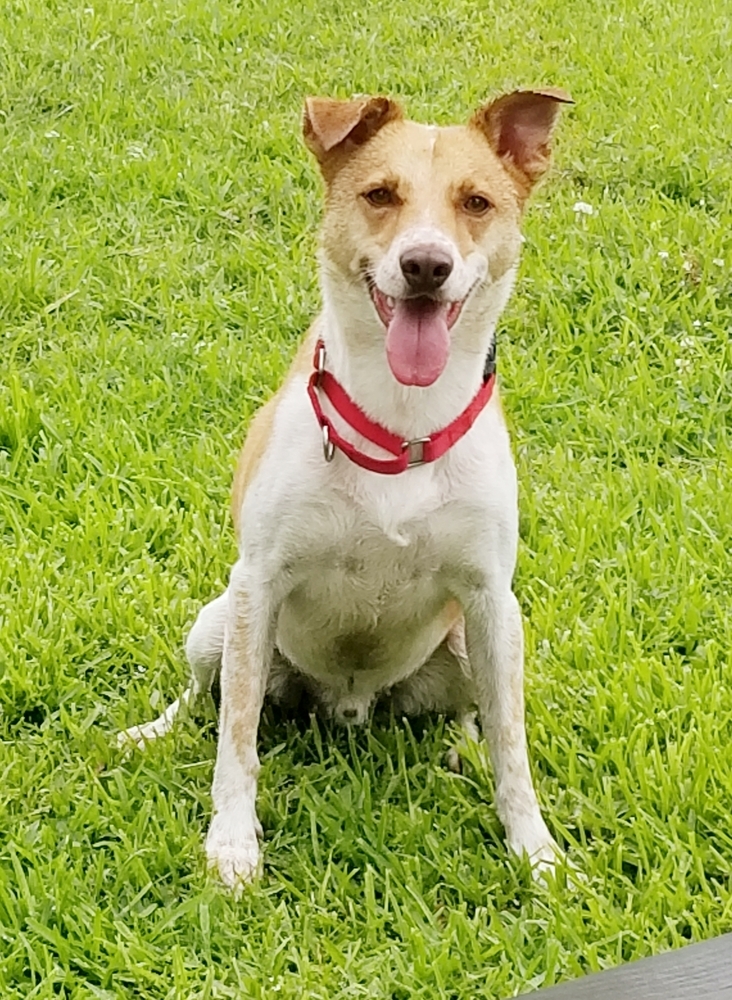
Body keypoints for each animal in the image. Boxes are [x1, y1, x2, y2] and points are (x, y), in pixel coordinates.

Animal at [120, 84, 572, 884]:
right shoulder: (258, 582)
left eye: (477, 202)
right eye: (380, 194)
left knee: (471, 712)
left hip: (467, 641)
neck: (402, 425)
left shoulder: (493, 599)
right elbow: (236, 737)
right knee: (204, 697)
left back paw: (457, 749)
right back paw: (156, 731)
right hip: (216, 623)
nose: (426, 264)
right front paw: (231, 844)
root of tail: (347, 705)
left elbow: (511, 744)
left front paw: (535, 851)